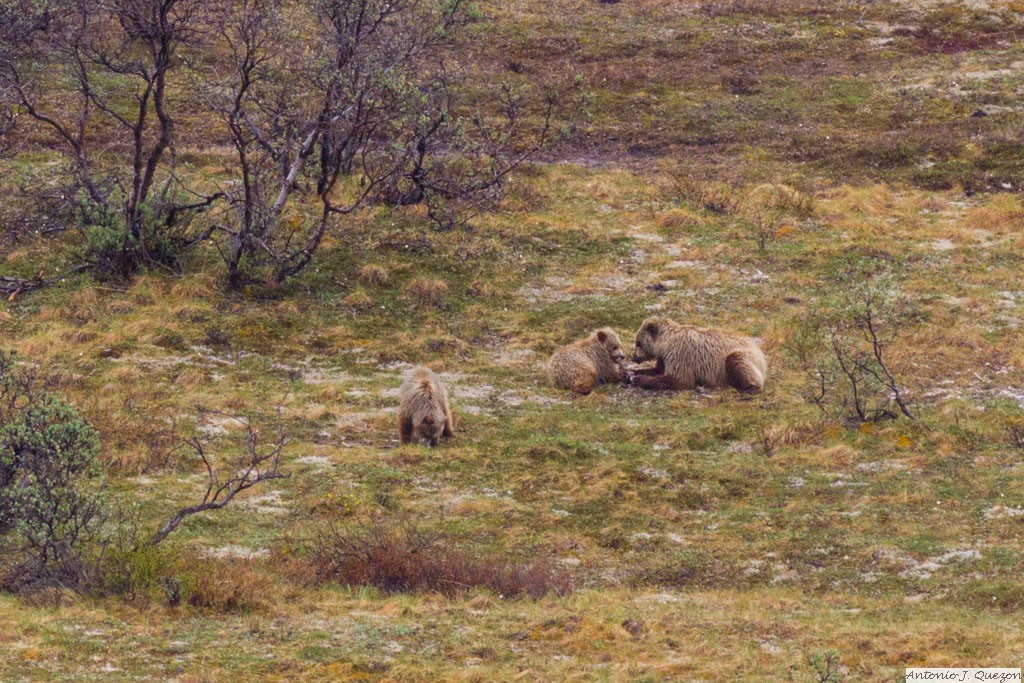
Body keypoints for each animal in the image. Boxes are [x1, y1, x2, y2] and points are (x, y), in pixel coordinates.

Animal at [626, 317, 765, 393]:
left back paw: (747, 387)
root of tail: (759, 351)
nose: (634, 357)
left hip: (741, 355)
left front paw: (639, 379)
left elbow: (678, 378)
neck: (665, 345)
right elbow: (658, 369)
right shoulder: (665, 358)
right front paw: (633, 372)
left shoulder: (680, 354)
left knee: (737, 362)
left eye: (638, 343)